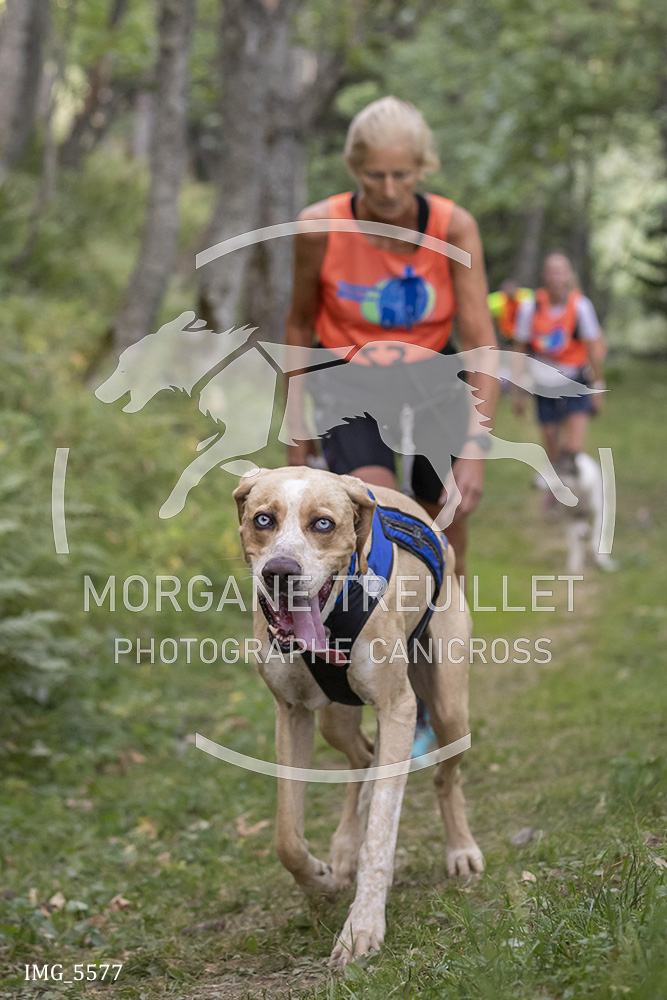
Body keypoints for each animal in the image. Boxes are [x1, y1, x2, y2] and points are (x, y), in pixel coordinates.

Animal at [232, 465, 483, 968]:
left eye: (323, 524)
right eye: (263, 519)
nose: (280, 572)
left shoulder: (398, 709)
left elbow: (381, 835)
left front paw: (362, 926)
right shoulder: (291, 714)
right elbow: (287, 839)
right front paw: (321, 882)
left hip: (448, 708)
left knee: (445, 778)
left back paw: (461, 849)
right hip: (334, 720)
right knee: (364, 757)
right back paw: (343, 851)